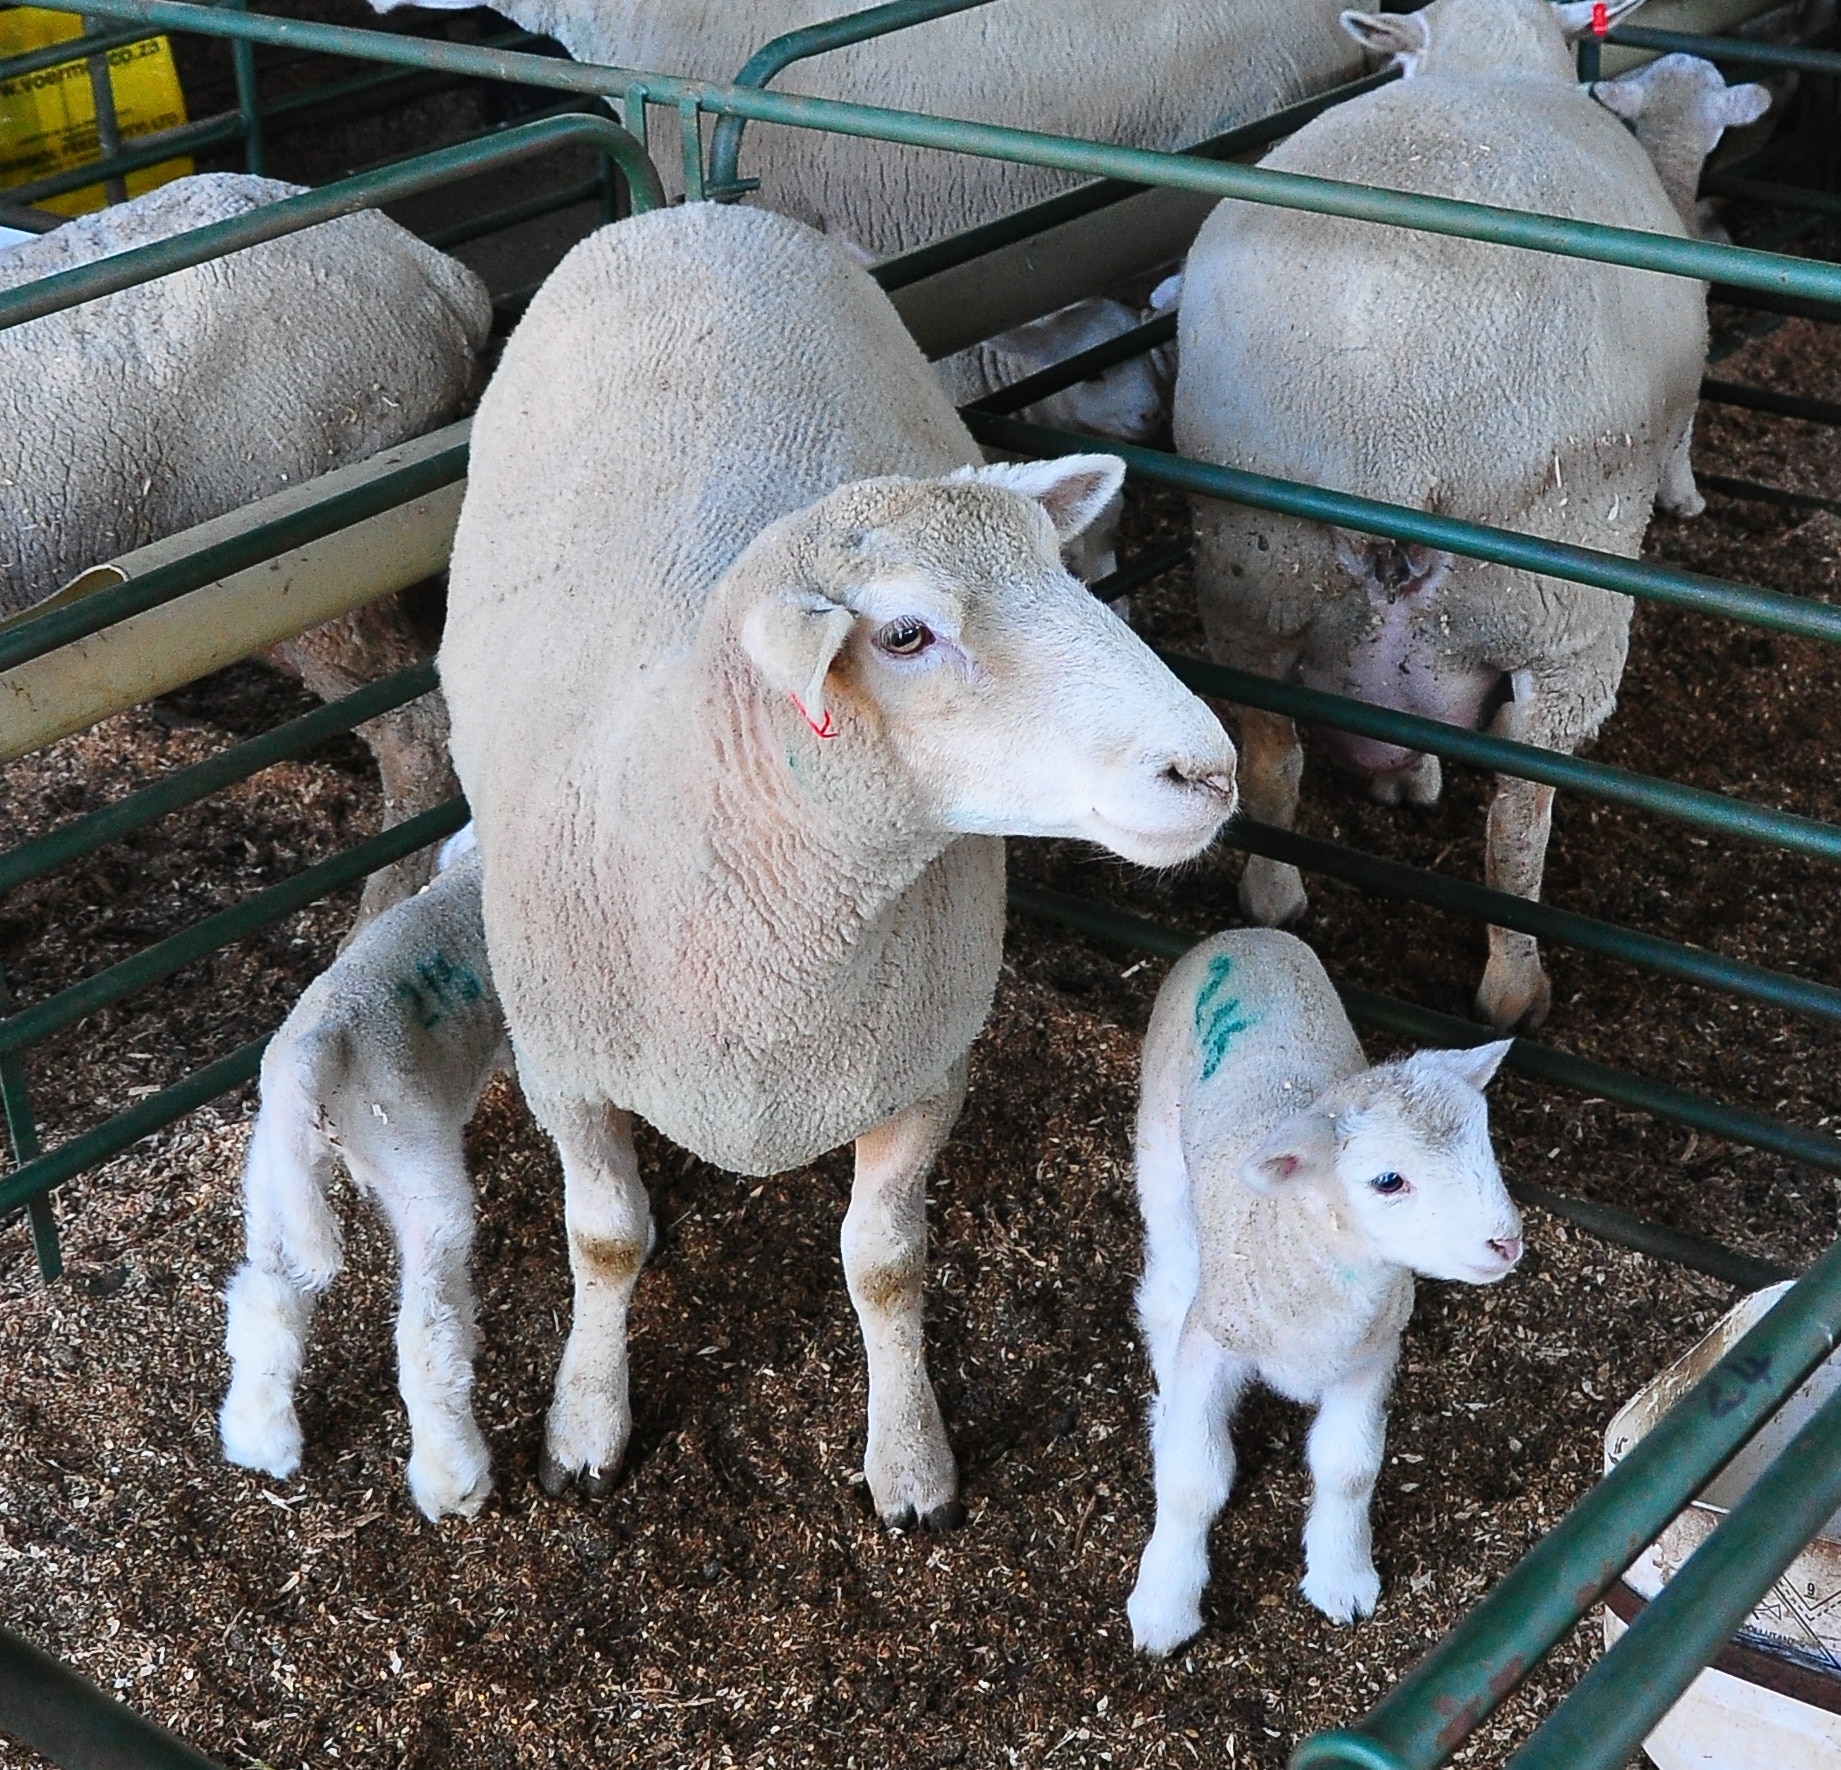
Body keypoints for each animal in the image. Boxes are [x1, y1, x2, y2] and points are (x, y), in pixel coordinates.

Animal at [219, 828, 515, 1517]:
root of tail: (316, 1051)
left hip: (274, 1171)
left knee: (265, 1295)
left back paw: (259, 1438)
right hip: (415, 1165)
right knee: (427, 1334)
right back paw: (452, 1480)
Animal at [438, 203, 1237, 1532]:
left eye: (1063, 572)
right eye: (906, 634)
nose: (1207, 772)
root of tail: (696, 209)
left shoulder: (921, 1066)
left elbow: (885, 1262)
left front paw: (907, 1464)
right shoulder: (565, 1064)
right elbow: (603, 1240)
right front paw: (585, 1429)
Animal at [1126, 924, 1516, 1657]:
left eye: (1485, 1144)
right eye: (1387, 1181)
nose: (1505, 1242)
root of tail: (1243, 935)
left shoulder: (1371, 1354)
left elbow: (1349, 1466)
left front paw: (1342, 1577)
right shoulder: (1214, 1339)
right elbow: (1191, 1480)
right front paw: (1164, 1603)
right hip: (1160, 1150)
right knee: (1166, 1285)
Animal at [1178, 0, 1767, 1031]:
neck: (1485, 62)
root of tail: (1390, 426)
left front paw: (1408, 780)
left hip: (1254, 576)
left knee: (1269, 754)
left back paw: (1273, 899)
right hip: (1557, 610)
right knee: (1518, 817)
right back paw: (1512, 988)